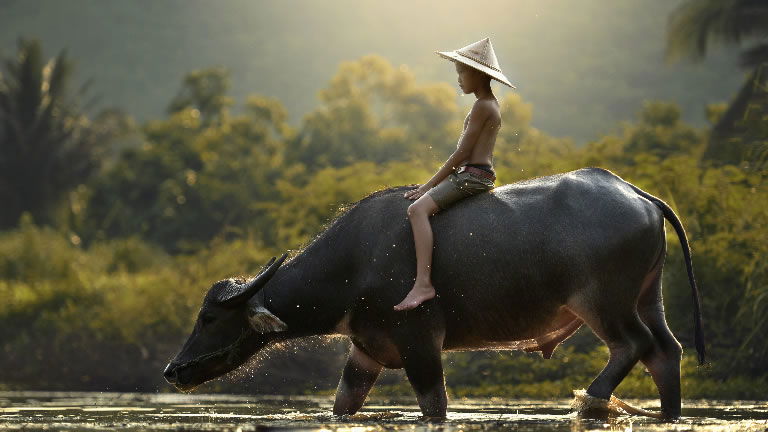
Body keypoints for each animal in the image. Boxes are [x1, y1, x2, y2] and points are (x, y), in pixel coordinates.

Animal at [163, 167, 704, 420]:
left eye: (209, 318)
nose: (173, 370)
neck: (357, 262)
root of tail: (637, 194)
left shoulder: (420, 342)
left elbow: (434, 405)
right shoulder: (366, 351)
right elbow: (343, 404)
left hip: (604, 302)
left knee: (632, 345)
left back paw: (590, 402)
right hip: (648, 296)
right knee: (666, 351)